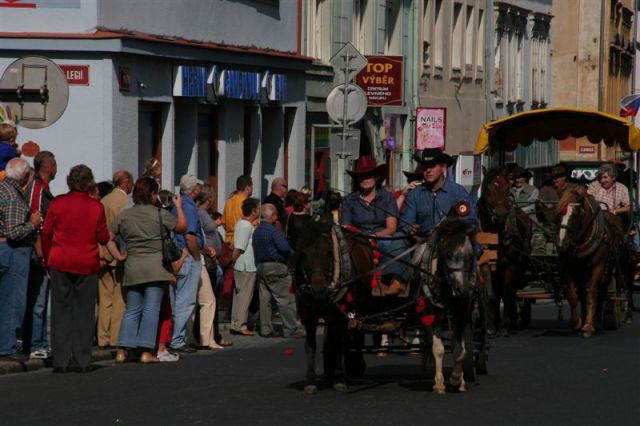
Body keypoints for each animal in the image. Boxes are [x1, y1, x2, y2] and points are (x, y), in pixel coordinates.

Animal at [478, 169, 532, 332]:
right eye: (487, 189)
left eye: (508, 190)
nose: (501, 215)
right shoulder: (484, 265)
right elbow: (488, 293)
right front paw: (490, 325)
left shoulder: (511, 265)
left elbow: (507, 292)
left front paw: (503, 328)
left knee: (510, 291)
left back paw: (512, 322)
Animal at [556, 186, 624, 336]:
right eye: (558, 214)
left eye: (575, 214)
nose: (562, 244)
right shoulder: (571, 267)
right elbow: (574, 295)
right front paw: (577, 323)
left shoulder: (598, 267)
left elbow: (592, 294)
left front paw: (588, 326)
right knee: (584, 293)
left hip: (607, 271)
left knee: (602, 293)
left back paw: (597, 322)